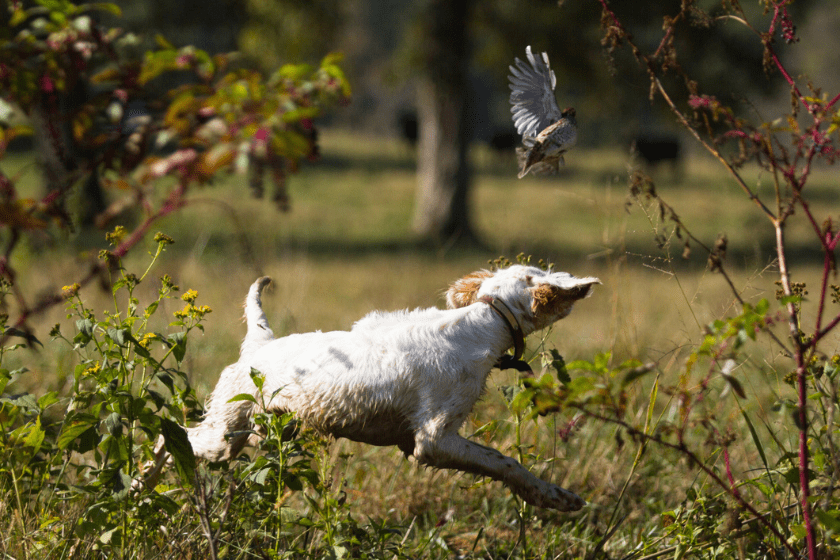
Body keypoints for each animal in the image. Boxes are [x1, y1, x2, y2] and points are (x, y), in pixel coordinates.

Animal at [148, 266, 600, 512]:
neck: (483, 321)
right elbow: (506, 463)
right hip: (225, 435)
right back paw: (138, 486)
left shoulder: (411, 441)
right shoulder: (433, 440)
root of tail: (260, 345)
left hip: (256, 433)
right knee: (168, 436)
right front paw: (556, 496)